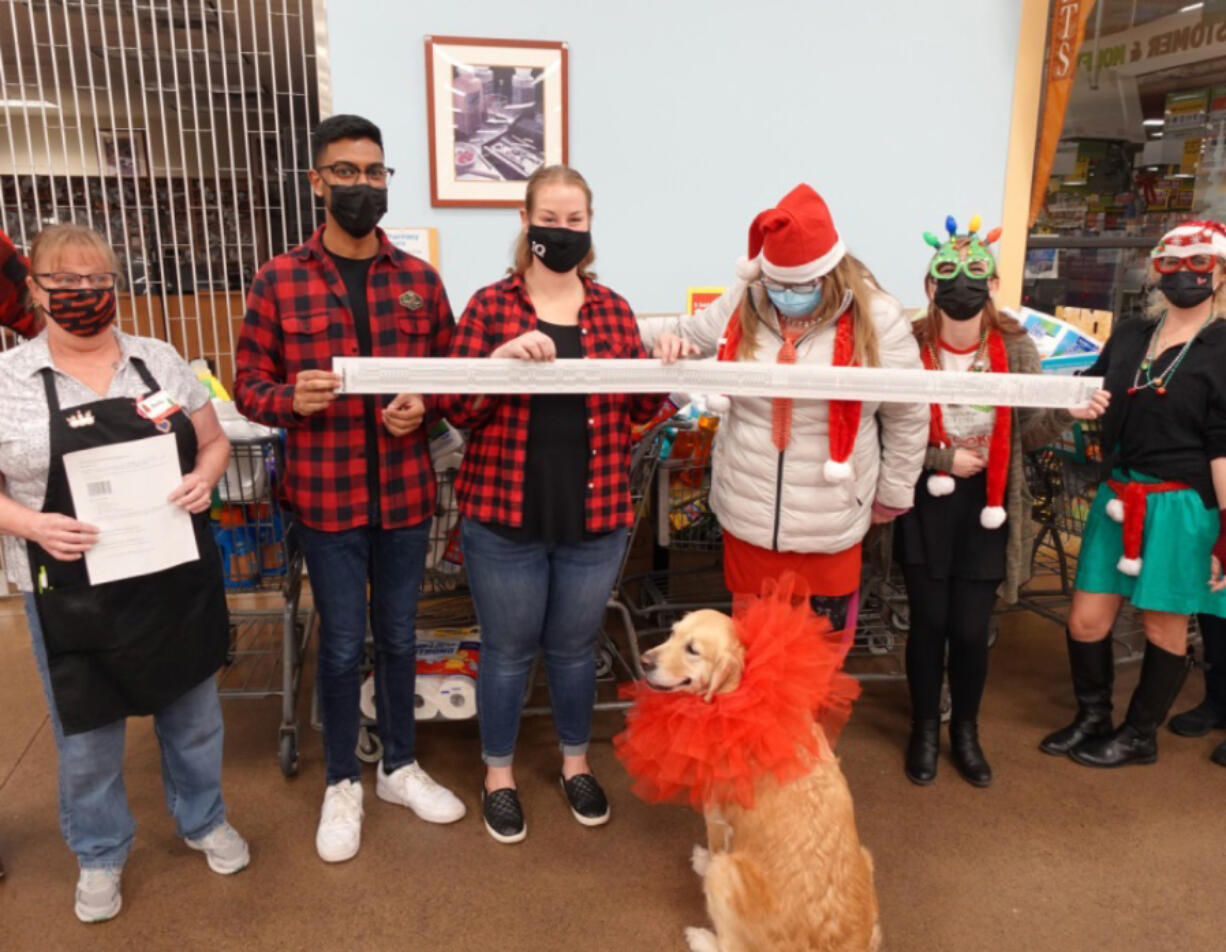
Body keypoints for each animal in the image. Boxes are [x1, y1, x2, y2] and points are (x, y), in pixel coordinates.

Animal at [637, 610, 877, 950]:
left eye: (692, 650)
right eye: (672, 633)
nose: (644, 661)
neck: (738, 694)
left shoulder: (715, 813)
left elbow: (715, 848)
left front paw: (703, 860)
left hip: (725, 875)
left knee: (728, 944)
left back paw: (699, 936)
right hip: (866, 858)